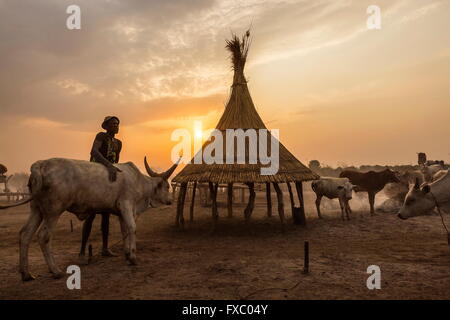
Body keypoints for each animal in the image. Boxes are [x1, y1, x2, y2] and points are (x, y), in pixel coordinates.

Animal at [0, 157, 179, 280]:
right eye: (167, 186)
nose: (170, 200)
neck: (140, 182)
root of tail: (40, 165)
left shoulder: (122, 212)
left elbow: (125, 230)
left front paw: (127, 254)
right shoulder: (127, 205)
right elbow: (132, 228)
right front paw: (133, 258)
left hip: (37, 209)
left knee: (25, 234)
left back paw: (26, 274)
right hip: (53, 211)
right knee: (44, 236)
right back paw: (55, 271)